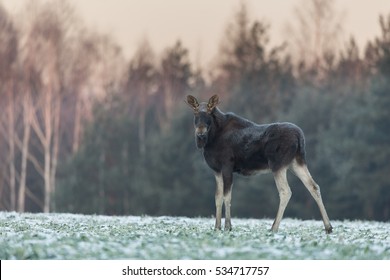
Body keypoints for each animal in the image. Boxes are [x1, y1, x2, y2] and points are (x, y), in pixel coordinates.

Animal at [186, 94, 332, 234]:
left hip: (278, 164)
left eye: (209, 112)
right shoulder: (216, 170)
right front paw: (216, 227)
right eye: (195, 112)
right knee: (314, 186)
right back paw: (328, 227)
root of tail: (300, 137)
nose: (200, 132)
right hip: (297, 162)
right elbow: (217, 197)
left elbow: (227, 196)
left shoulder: (227, 165)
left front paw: (228, 226)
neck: (211, 140)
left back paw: (274, 227)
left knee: (285, 191)